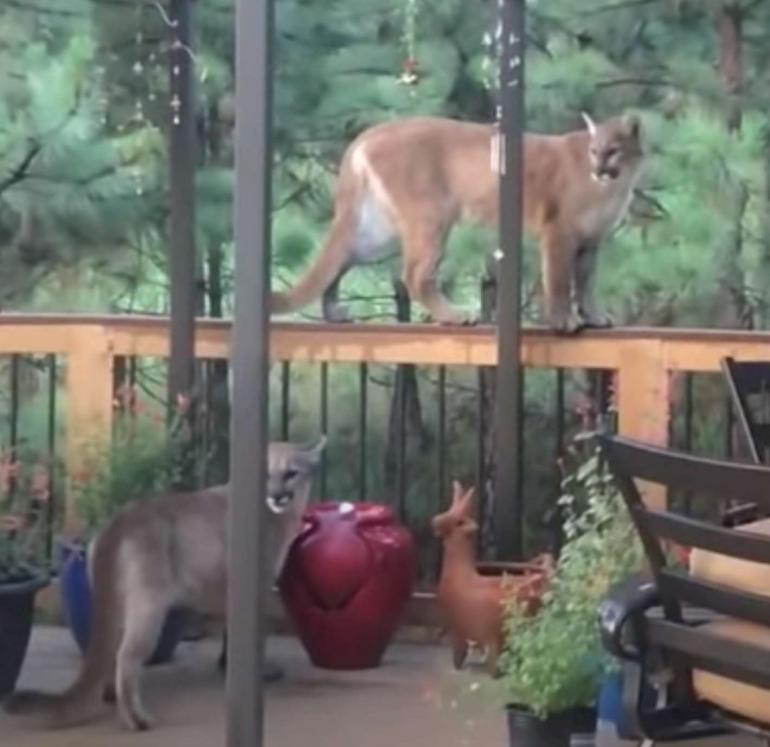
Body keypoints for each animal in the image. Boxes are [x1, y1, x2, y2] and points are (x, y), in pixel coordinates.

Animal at [1, 436, 324, 732]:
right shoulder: (255, 584)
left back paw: (108, 696)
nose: (277, 496)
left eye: (291, 473)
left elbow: (230, 632)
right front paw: (258, 671)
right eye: (265, 474)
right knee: (127, 658)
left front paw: (228, 666)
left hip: (115, 606)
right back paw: (136, 719)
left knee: (109, 650)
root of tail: (120, 520)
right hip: (148, 607)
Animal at [270, 112, 640, 334]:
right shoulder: (559, 232)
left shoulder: (590, 241)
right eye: (594, 151)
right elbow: (560, 280)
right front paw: (564, 321)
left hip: (378, 233)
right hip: (432, 216)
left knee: (342, 257)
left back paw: (334, 312)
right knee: (415, 274)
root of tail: (370, 133)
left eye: (613, 150)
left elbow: (587, 281)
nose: (599, 169)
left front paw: (595, 317)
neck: (614, 186)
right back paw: (454, 315)